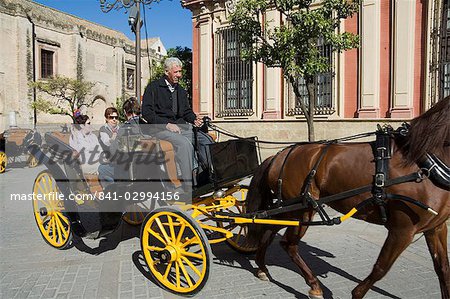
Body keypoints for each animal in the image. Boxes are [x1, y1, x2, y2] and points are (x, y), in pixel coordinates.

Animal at [246, 97, 450, 298]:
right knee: (288, 244)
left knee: (270, 227)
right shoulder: (402, 230)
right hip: (302, 210)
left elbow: (443, 269)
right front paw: (356, 293)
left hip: (293, 210)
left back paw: (263, 267)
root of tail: (278, 155)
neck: (423, 163)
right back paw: (313, 284)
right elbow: (380, 269)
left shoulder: (435, 227)